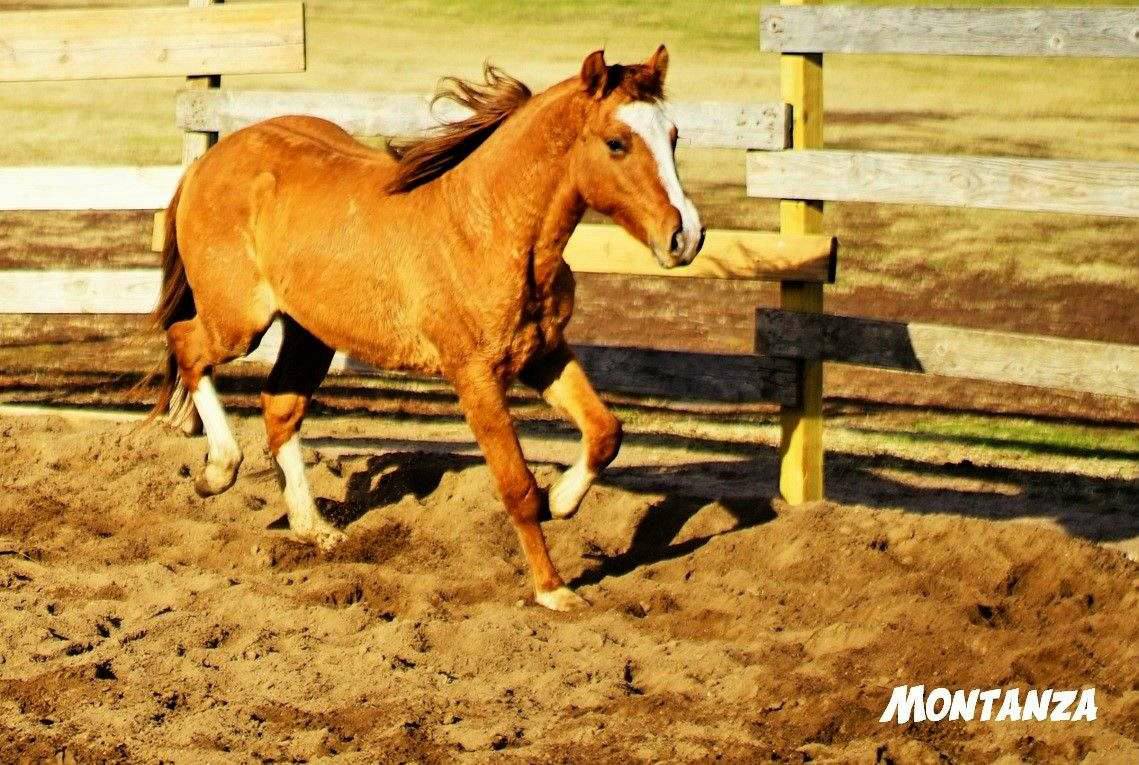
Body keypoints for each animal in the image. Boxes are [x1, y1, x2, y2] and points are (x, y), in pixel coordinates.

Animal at [151, 47, 704, 611]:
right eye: (617, 142)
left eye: (674, 135)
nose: (686, 237)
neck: (488, 229)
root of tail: (207, 163)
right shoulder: (475, 376)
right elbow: (518, 487)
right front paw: (554, 590)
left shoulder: (544, 354)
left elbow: (605, 432)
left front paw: (564, 501)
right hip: (239, 323)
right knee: (187, 345)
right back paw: (218, 470)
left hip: (312, 335)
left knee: (279, 406)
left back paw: (316, 530)